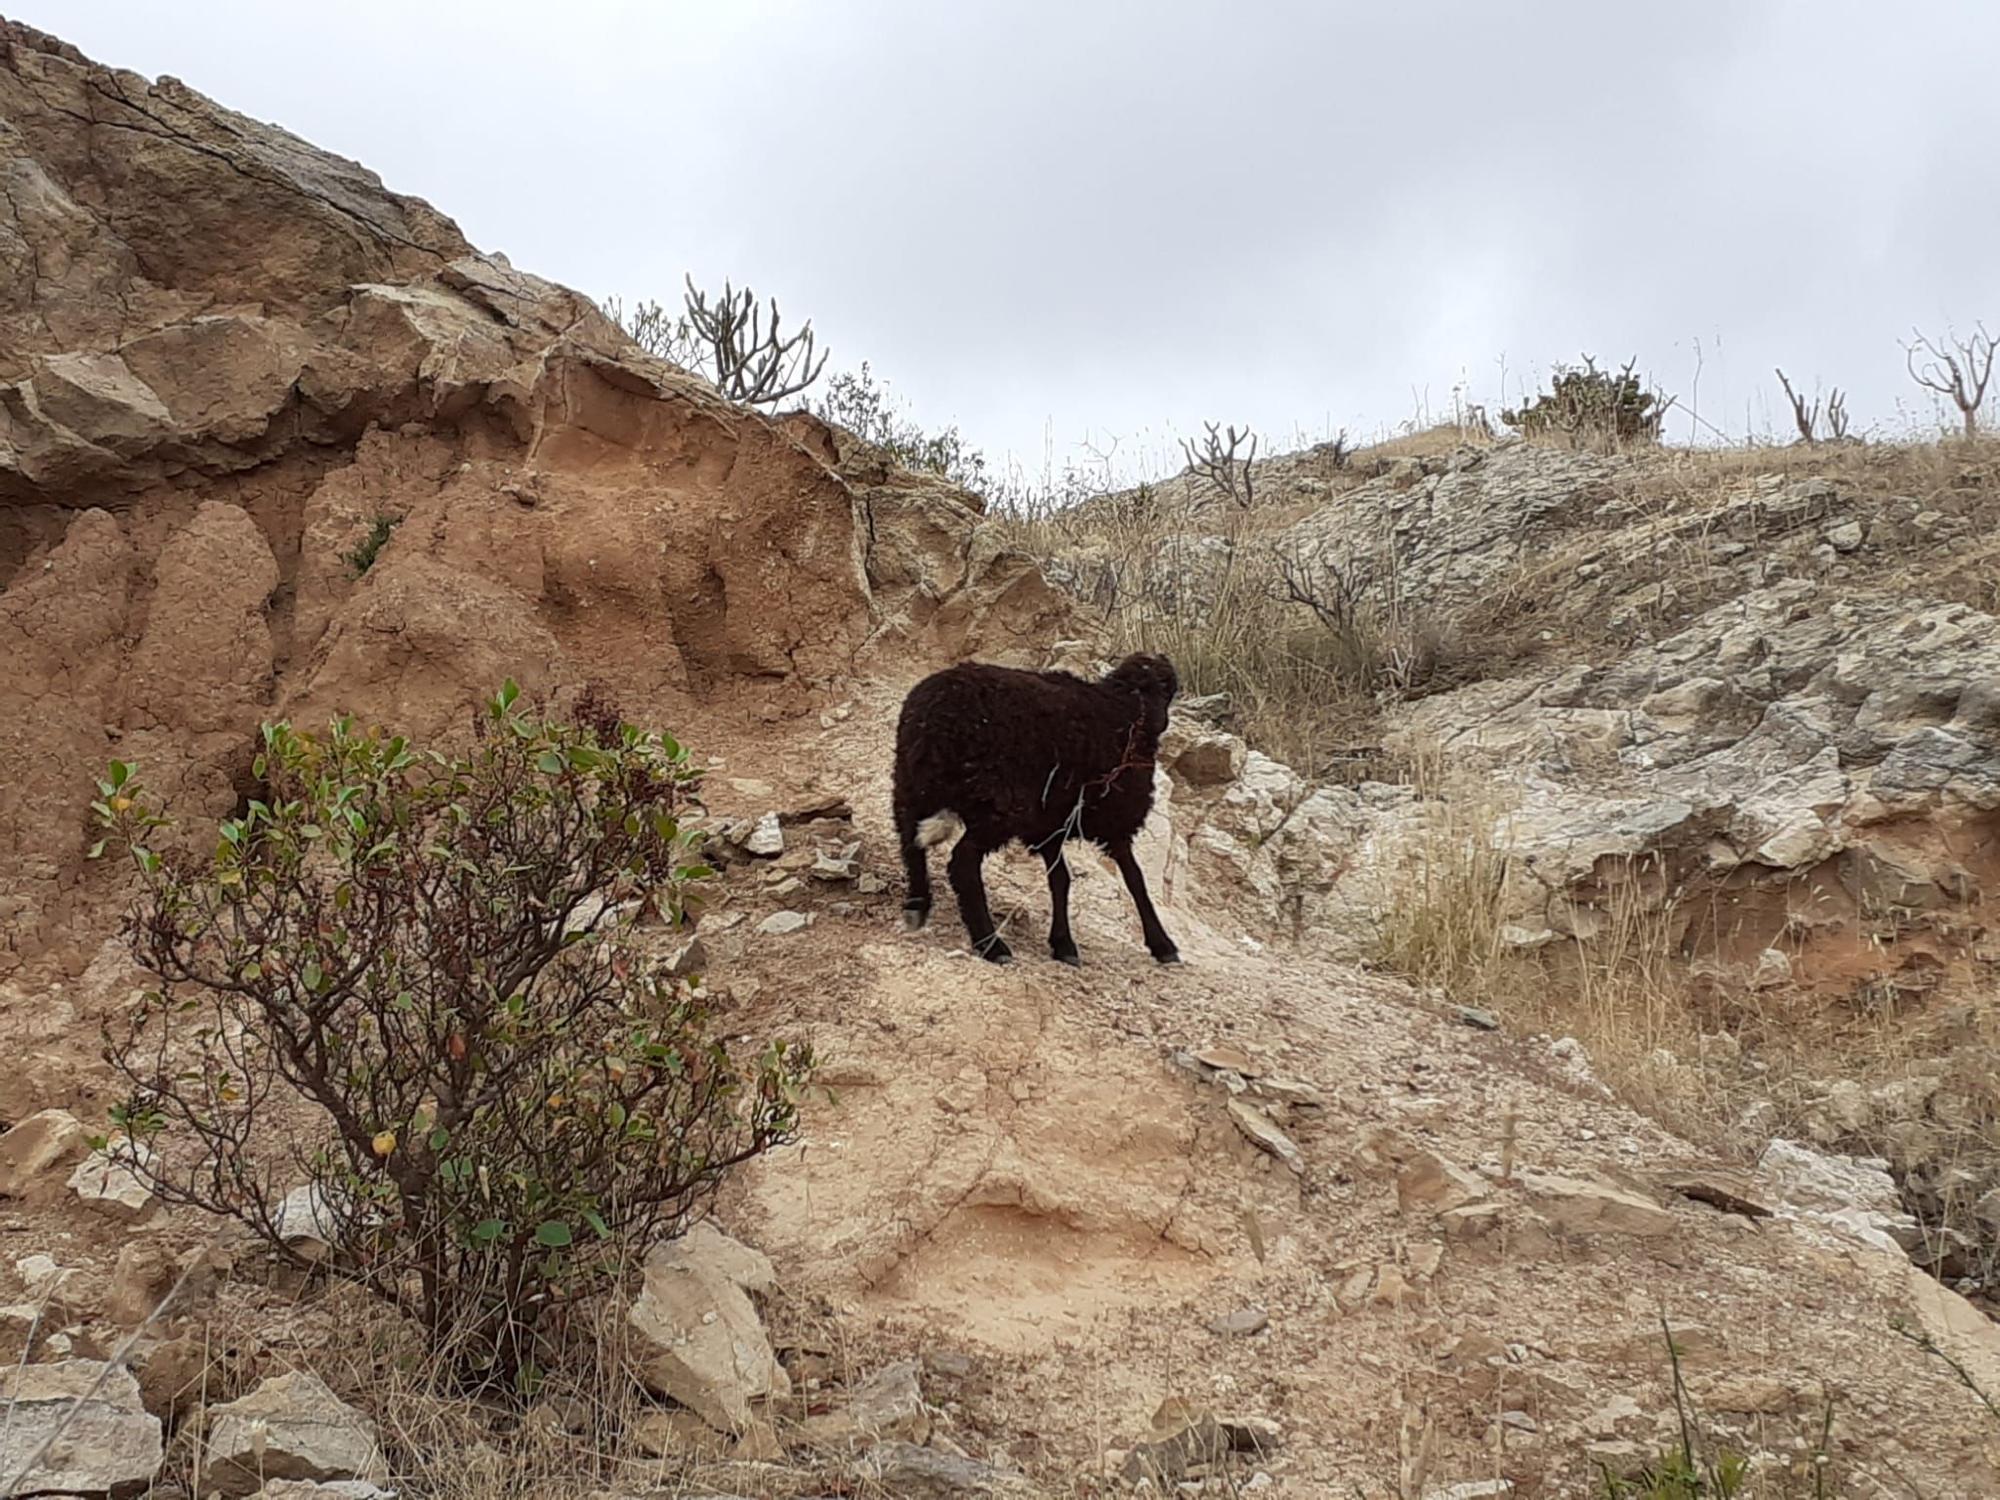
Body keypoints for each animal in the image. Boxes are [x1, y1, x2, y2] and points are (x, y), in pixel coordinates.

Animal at [888, 656, 1168, 964]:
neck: (1129, 711)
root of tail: (937, 716)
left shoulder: (1049, 826)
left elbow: (1061, 879)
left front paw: (1063, 944)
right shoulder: (1114, 822)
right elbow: (1135, 880)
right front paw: (1163, 945)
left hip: (911, 785)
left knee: (910, 842)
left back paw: (917, 904)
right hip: (999, 806)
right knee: (963, 863)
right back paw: (991, 945)